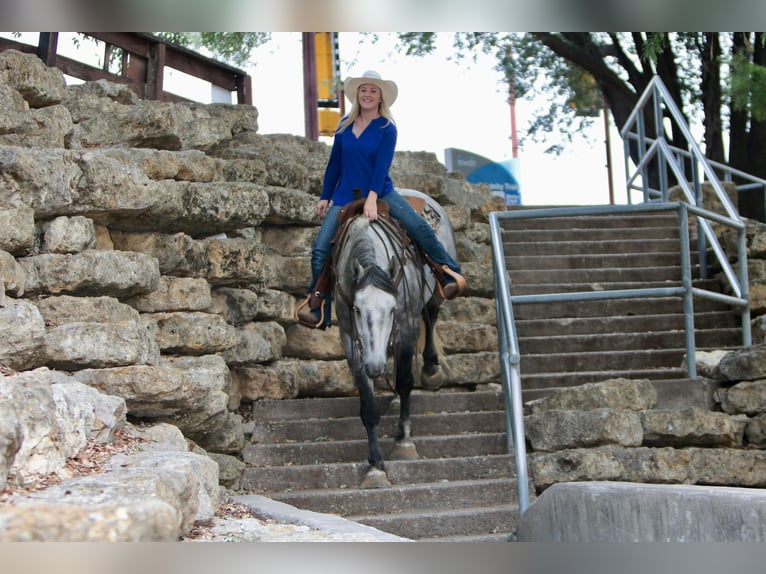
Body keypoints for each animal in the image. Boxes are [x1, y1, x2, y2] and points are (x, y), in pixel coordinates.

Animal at [332, 190, 460, 490]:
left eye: (392, 309)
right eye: (357, 310)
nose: (375, 367)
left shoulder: (406, 327)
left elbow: (404, 381)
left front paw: (404, 442)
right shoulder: (351, 339)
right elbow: (368, 406)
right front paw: (375, 467)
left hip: (433, 298)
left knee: (431, 319)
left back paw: (430, 370)